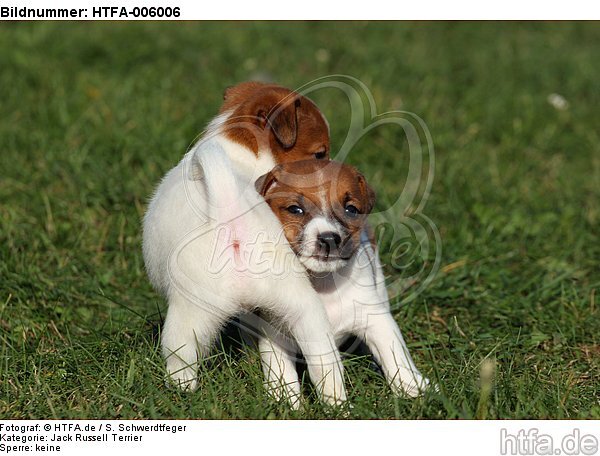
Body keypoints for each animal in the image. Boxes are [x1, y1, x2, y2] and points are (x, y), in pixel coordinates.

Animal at [255, 159, 428, 406]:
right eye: (295, 209)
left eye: (351, 209)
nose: (329, 238)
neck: (322, 284)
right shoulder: (275, 332)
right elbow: (280, 371)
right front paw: (286, 402)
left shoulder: (375, 319)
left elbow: (395, 354)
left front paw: (413, 390)